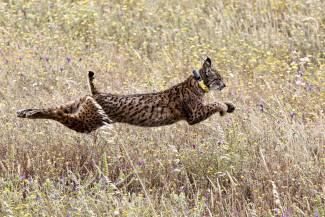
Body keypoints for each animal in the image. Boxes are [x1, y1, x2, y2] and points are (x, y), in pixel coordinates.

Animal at [17, 56, 233, 133]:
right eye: (219, 77)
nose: (224, 84)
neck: (198, 82)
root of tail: (97, 92)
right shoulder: (193, 115)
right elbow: (213, 104)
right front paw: (225, 107)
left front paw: (229, 105)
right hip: (87, 121)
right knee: (59, 114)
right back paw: (30, 113)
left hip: (80, 105)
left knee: (56, 107)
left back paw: (26, 111)